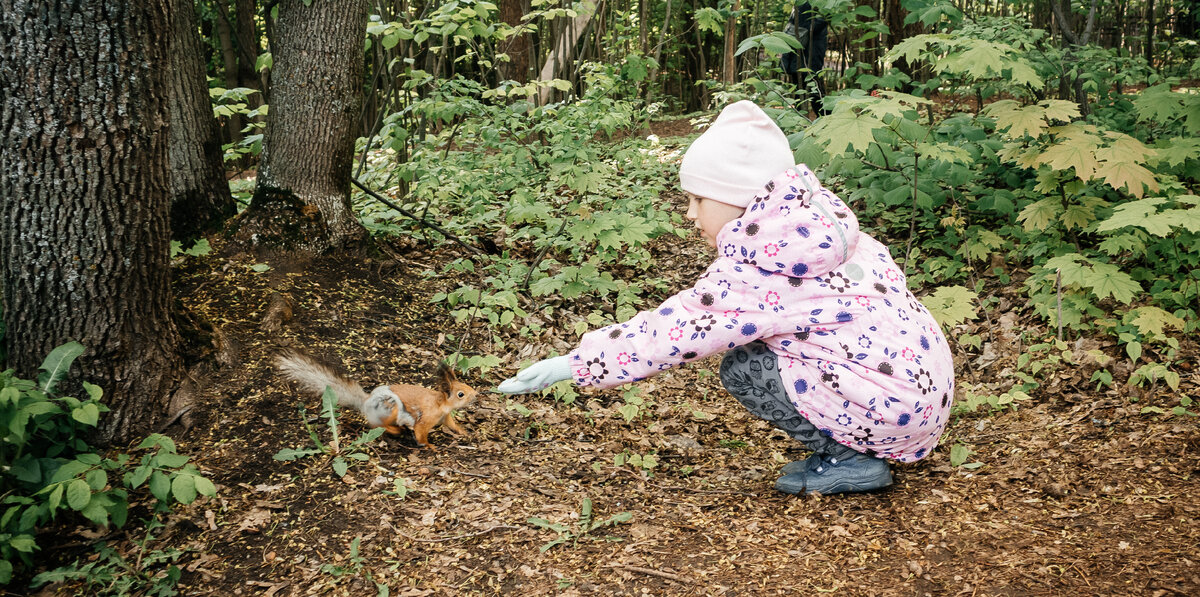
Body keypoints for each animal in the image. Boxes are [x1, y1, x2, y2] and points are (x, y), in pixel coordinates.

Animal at [273, 350, 477, 448]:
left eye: (465, 385)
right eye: (461, 394)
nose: (476, 394)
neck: (441, 404)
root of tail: (365, 403)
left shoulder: (445, 417)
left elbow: (453, 425)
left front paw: (464, 432)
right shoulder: (426, 419)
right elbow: (420, 434)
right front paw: (429, 446)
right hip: (389, 407)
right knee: (376, 425)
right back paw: (396, 430)